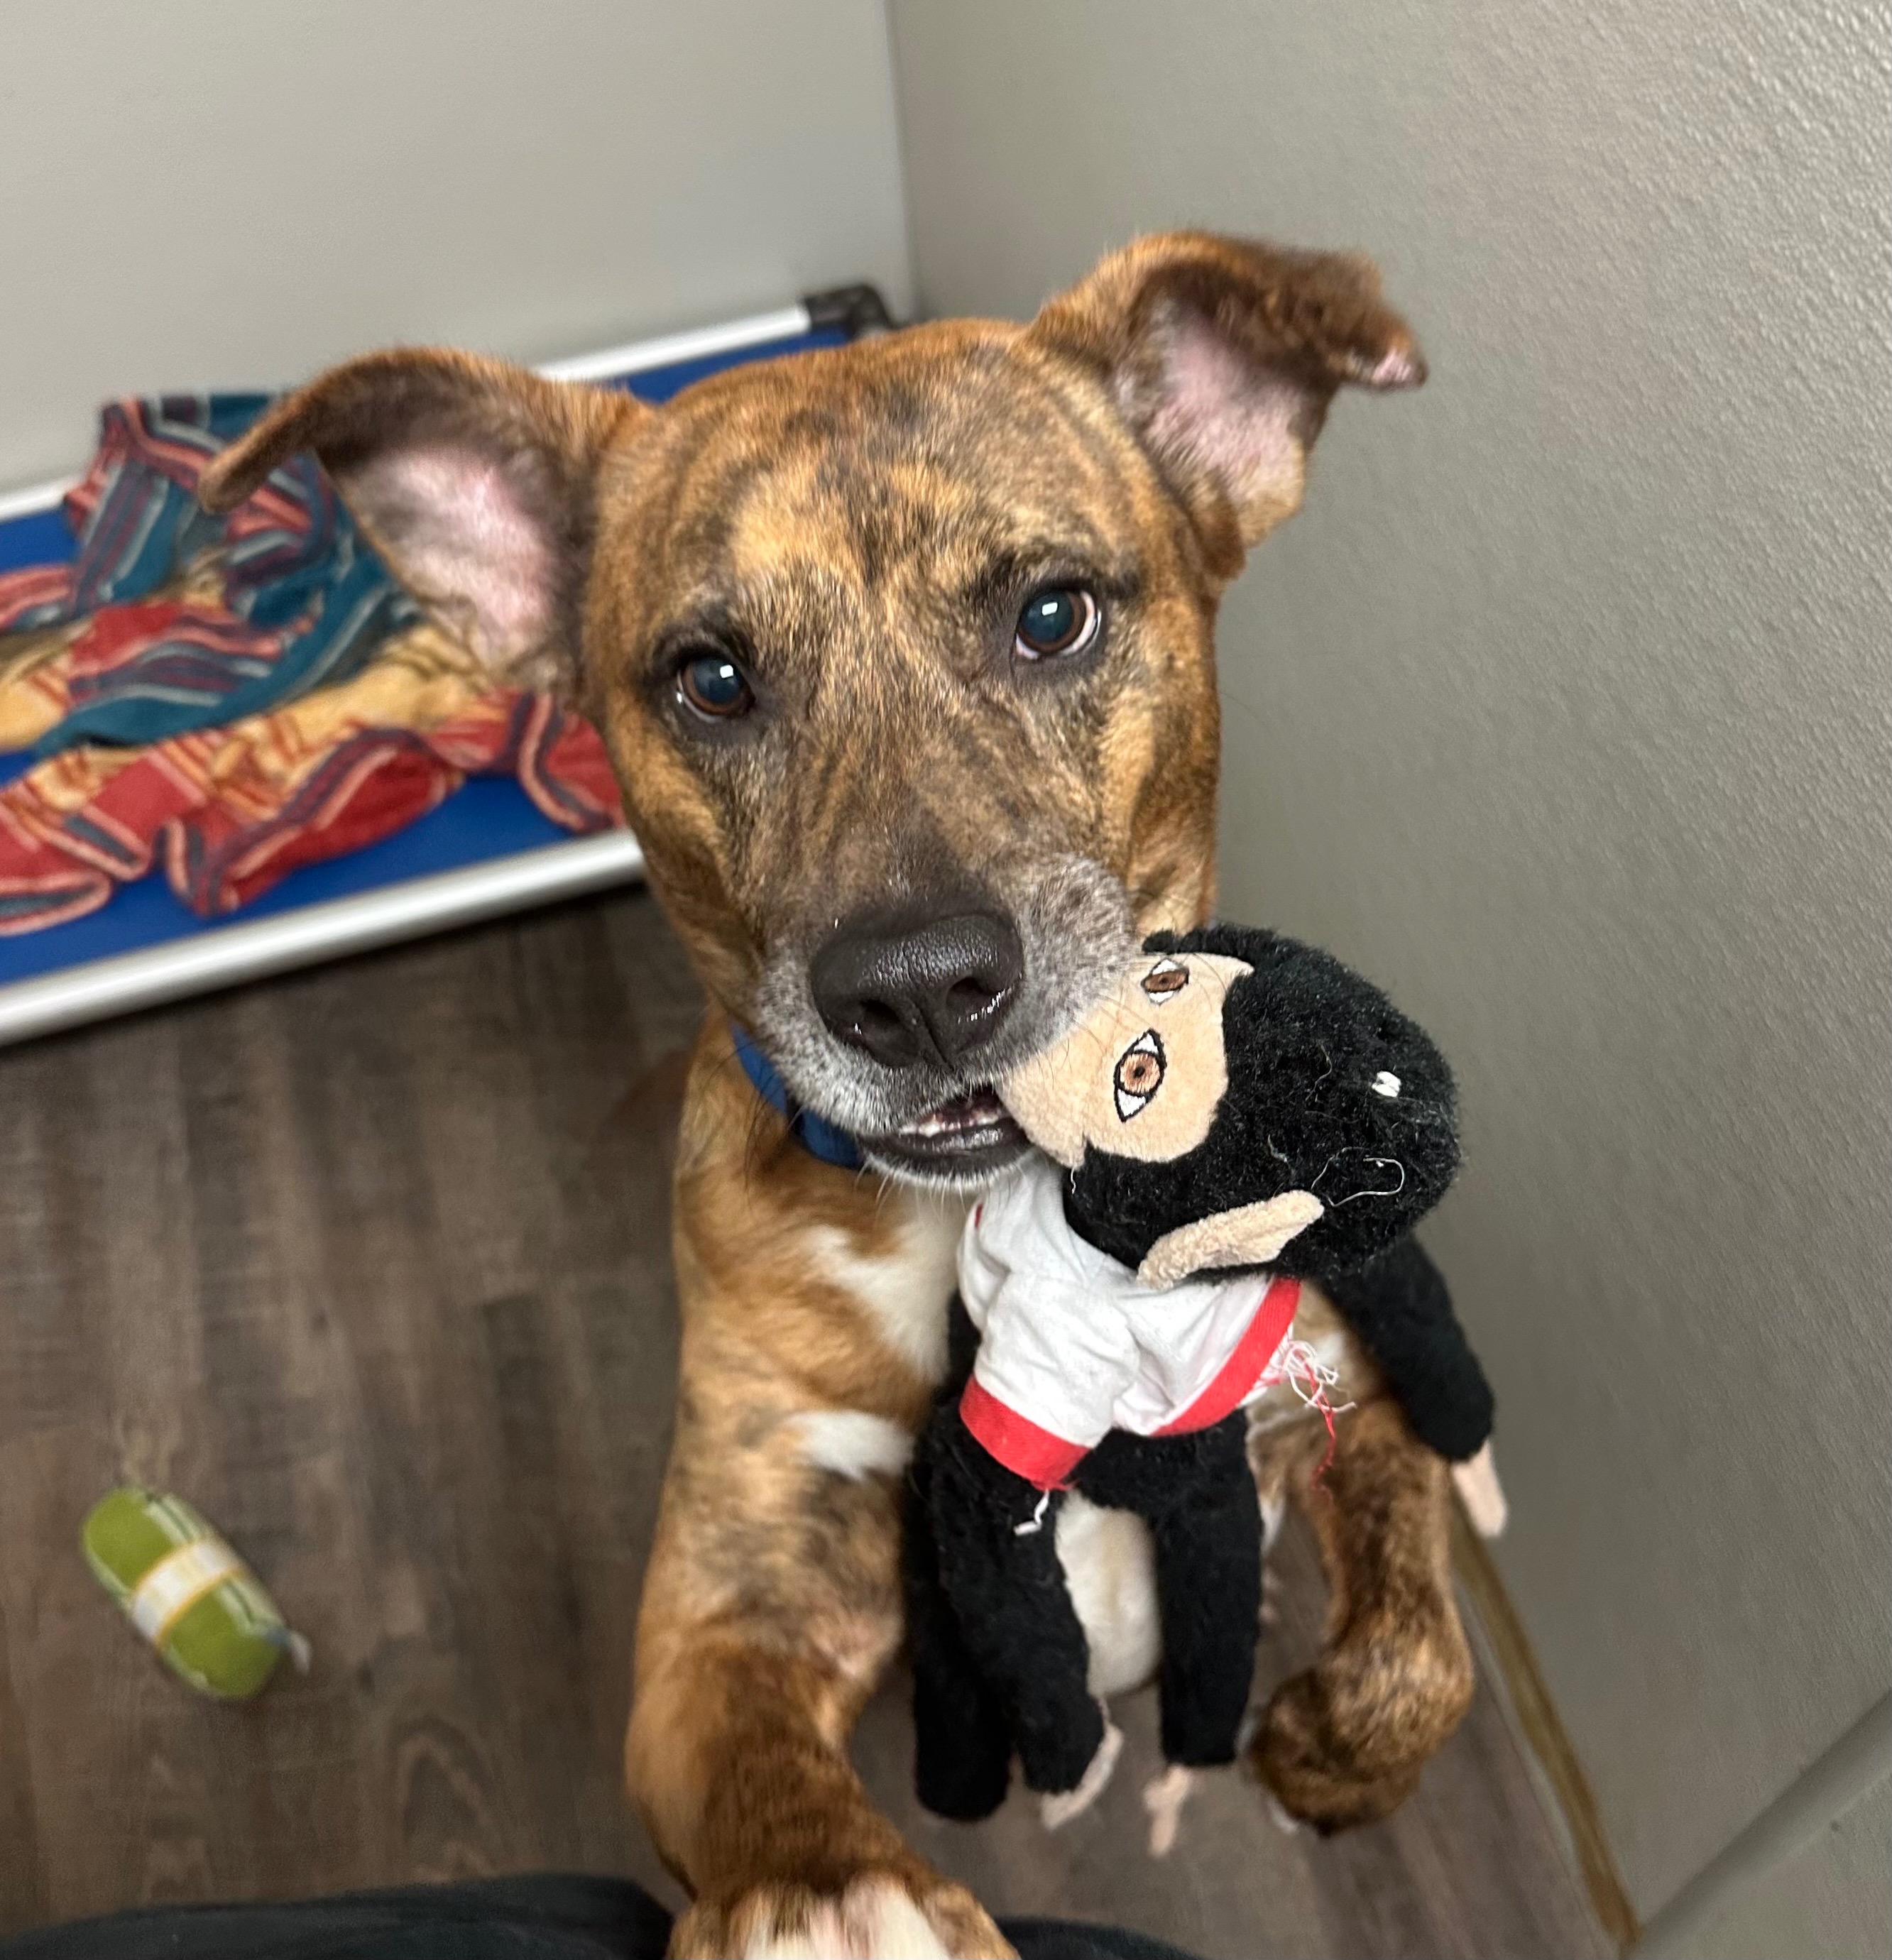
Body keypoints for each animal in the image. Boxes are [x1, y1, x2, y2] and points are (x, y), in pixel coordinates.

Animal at [203, 233, 1480, 1959]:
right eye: (711, 680)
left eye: (1054, 614)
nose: (921, 989)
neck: (985, 1221)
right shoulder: (736, 1596)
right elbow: (766, 1780)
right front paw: (835, 1904)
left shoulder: (1328, 1371)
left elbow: (1426, 1620)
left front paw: (1333, 1752)